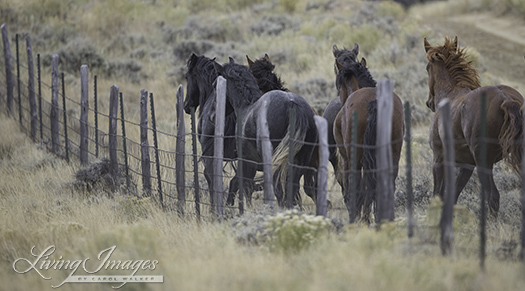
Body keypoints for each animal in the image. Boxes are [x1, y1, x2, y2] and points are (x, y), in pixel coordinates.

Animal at [182, 54, 318, 209]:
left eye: (187, 76)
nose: (186, 105)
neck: (246, 106)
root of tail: (292, 105)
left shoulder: (243, 160)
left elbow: (230, 183)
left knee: (280, 189)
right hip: (302, 162)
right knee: (298, 188)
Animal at [334, 59, 404, 224]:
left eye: (339, 86)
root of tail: (375, 101)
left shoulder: (346, 159)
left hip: (355, 157)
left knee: (357, 185)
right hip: (393, 153)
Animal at [424, 36, 520, 217]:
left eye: (427, 68)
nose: (429, 103)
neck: (449, 94)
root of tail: (505, 99)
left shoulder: (438, 158)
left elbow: (438, 194)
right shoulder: (466, 166)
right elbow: (452, 196)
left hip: (484, 163)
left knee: (493, 196)